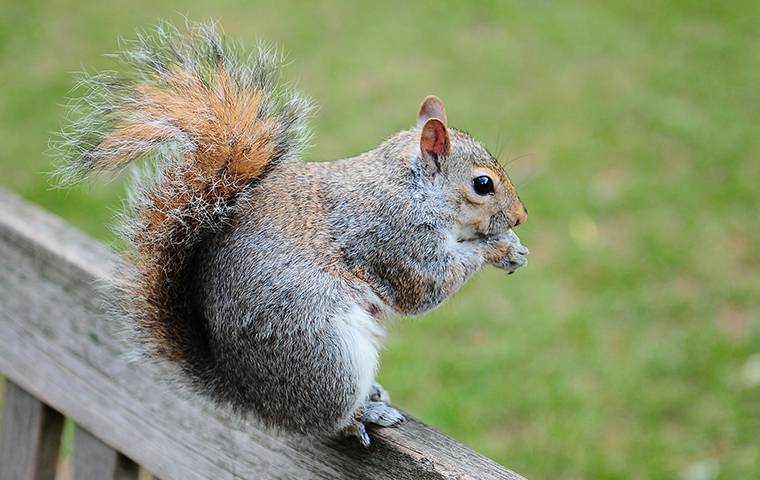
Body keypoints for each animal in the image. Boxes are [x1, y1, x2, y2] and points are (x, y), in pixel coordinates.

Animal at [55, 22, 528, 448]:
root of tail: (252, 397)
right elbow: (426, 287)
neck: (410, 186)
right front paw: (498, 248)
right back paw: (362, 414)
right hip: (326, 354)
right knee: (327, 419)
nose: (521, 217)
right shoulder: (393, 238)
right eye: (482, 184)